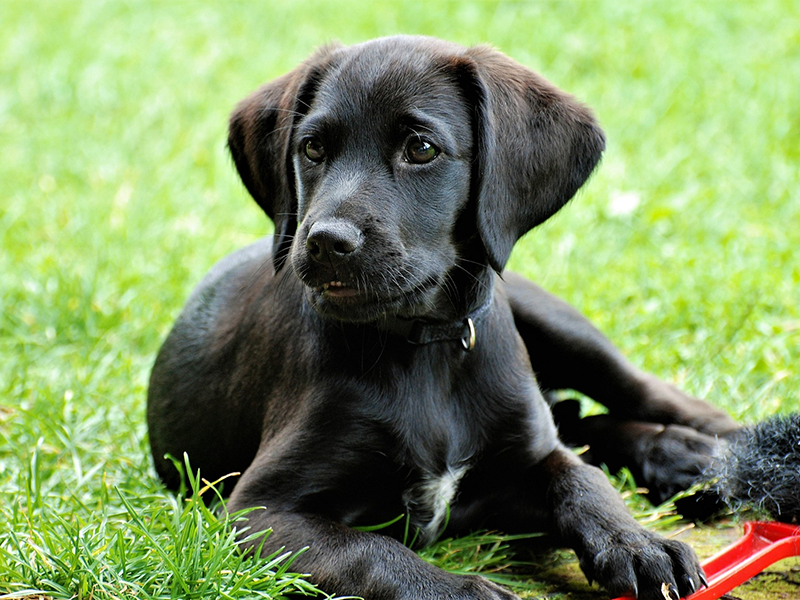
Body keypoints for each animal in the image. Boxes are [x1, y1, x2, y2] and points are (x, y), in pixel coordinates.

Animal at [148, 36, 736, 600]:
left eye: (421, 148)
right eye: (312, 148)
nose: (325, 242)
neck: (424, 346)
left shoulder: (530, 460)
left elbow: (585, 482)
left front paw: (636, 543)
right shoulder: (260, 512)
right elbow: (373, 553)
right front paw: (467, 590)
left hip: (553, 321)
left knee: (629, 393)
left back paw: (708, 451)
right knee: (579, 421)